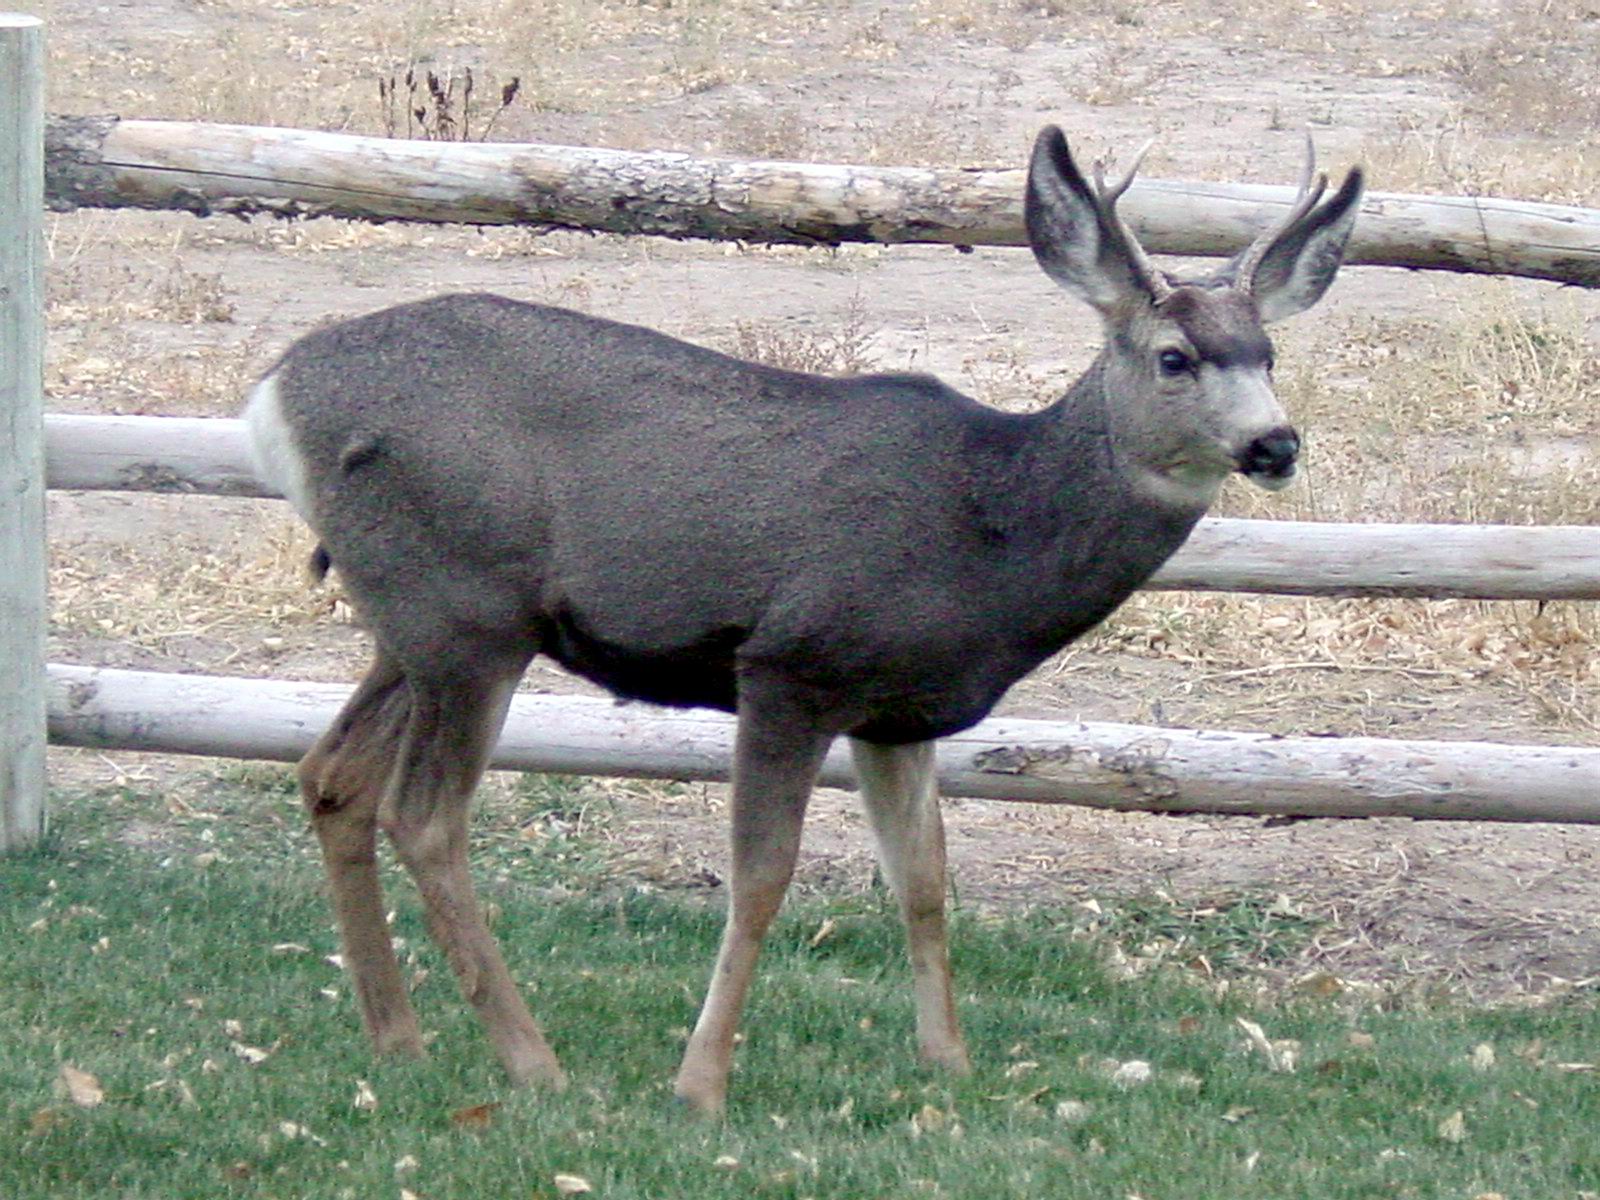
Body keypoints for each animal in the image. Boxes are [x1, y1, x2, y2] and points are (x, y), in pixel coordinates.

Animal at [244, 126, 1363, 1116]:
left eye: (1267, 352)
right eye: (1175, 357)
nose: (1275, 444)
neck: (990, 532)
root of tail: (275, 398)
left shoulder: (898, 712)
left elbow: (923, 880)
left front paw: (948, 1065)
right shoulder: (793, 665)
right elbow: (760, 879)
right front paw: (700, 1086)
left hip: (413, 621)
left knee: (334, 774)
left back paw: (399, 1038)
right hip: (465, 614)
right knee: (425, 815)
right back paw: (533, 1063)